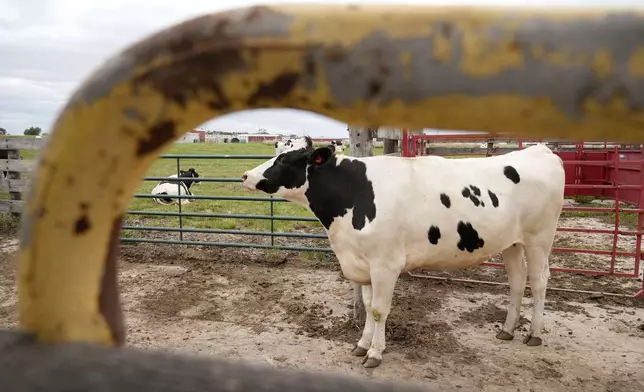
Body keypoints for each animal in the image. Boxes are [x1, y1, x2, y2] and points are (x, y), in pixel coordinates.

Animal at [242, 136, 564, 370]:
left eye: (285, 159)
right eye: (277, 150)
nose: (245, 175)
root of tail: (540, 150)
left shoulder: (385, 264)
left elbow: (378, 310)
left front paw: (375, 353)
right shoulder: (365, 263)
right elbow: (368, 305)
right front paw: (362, 344)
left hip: (539, 238)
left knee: (538, 282)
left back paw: (534, 334)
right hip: (512, 242)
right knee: (517, 281)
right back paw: (507, 329)